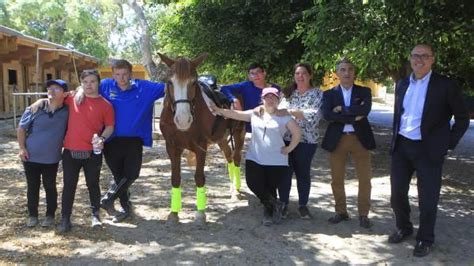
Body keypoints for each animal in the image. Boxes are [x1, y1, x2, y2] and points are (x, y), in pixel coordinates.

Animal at [158, 52, 244, 224]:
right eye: (170, 82)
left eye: (193, 83)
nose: (183, 119)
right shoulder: (172, 147)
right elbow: (175, 178)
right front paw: (174, 213)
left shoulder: (201, 147)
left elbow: (199, 178)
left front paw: (200, 213)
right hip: (222, 139)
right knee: (229, 157)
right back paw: (232, 188)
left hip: (238, 134)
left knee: (236, 158)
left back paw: (236, 190)